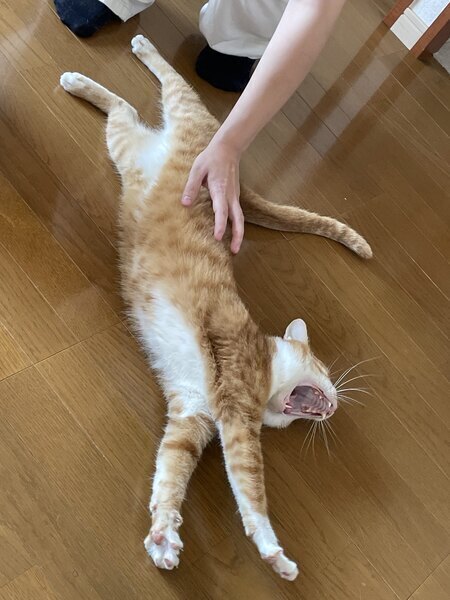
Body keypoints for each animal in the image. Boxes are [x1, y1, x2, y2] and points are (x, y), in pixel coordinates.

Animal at [60, 35, 372, 581]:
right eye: (324, 367)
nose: (338, 400)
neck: (265, 366)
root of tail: (230, 177)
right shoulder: (234, 418)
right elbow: (252, 492)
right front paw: (274, 553)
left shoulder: (192, 418)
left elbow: (169, 476)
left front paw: (164, 537)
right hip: (190, 116)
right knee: (172, 83)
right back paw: (141, 47)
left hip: (123, 144)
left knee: (122, 109)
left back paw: (80, 82)